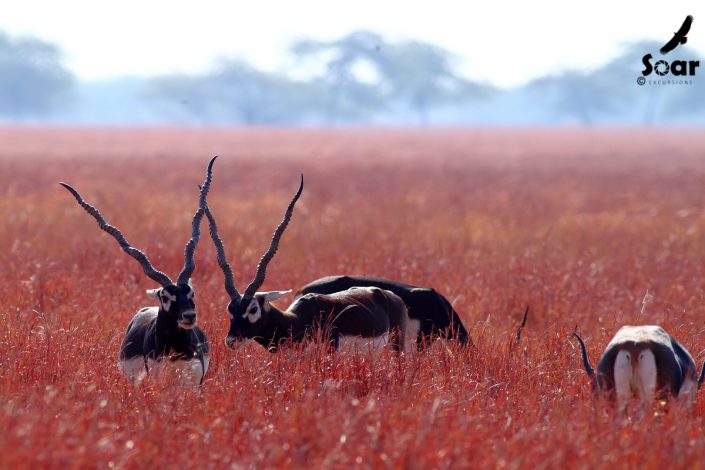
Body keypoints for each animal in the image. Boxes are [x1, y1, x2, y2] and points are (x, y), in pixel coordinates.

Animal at [201, 174, 410, 350]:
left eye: (253, 309)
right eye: (230, 309)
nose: (231, 340)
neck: (297, 321)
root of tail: (389, 295)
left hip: (396, 346)